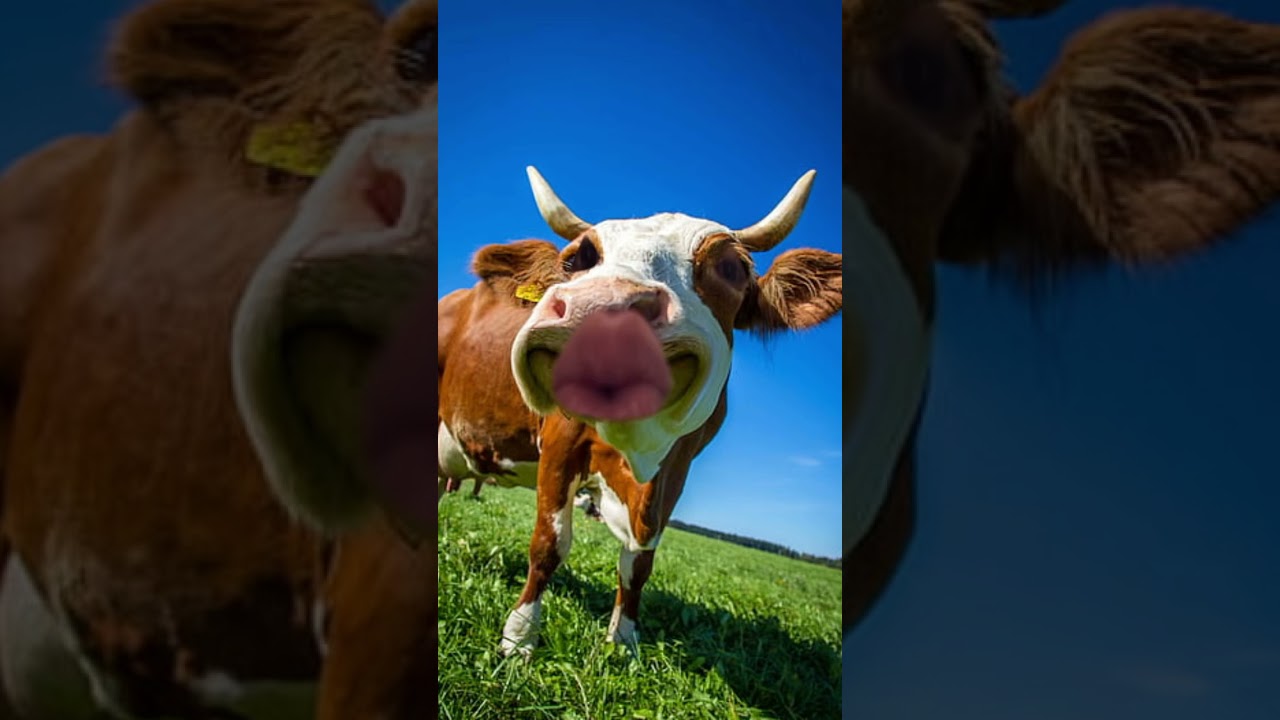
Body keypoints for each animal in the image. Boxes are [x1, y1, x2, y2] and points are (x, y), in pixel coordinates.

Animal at [412, 167, 842, 657]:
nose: (602, 305)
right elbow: (549, 543)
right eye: (580, 258)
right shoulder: (560, 443)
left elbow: (639, 563)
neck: (635, 449)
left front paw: (622, 642)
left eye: (731, 268)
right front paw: (519, 638)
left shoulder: (675, 470)